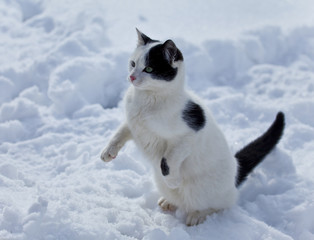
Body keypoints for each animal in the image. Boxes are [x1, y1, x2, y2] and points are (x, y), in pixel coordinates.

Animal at [100, 29, 284, 226]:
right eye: (133, 63)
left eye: (149, 69)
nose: (132, 77)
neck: (146, 100)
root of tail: (235, 171)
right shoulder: (134, 125)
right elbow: (119, 133)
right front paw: (108, 152)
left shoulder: (189, 134)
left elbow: (166, 161)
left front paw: (173, 181)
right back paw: (169, 202)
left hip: (207, 192)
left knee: (223, 204)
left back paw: (197, 215)